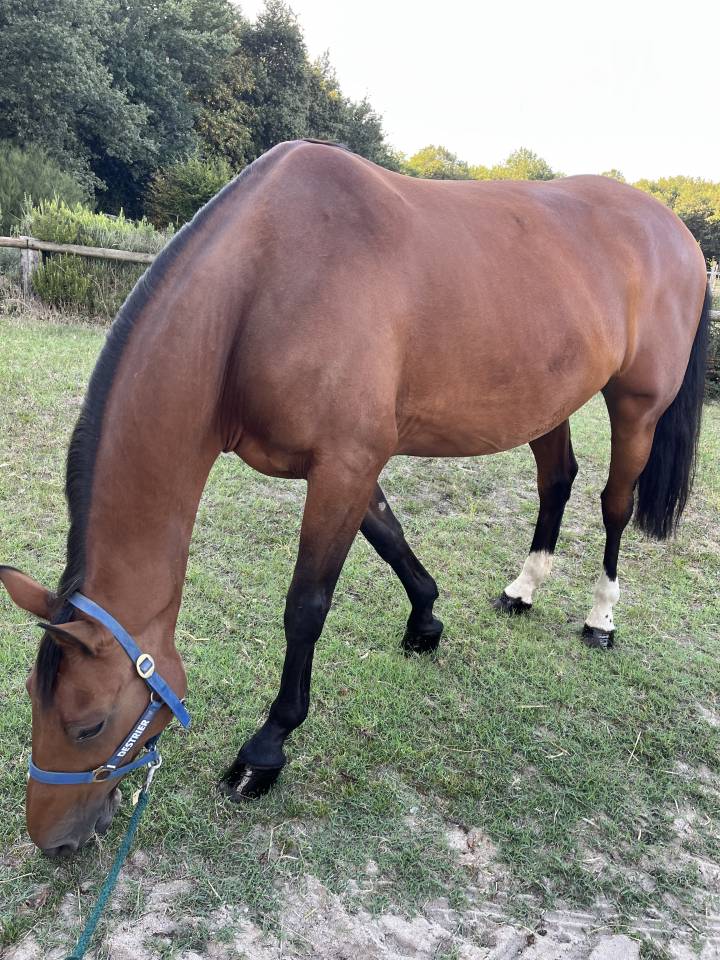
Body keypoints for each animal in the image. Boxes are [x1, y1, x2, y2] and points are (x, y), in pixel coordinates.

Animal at [1, 139, 710, 856]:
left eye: (89, 724)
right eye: (31, 695)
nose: (52, 840)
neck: (263, 286)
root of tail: (673, 229)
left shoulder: (345, 463)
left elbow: (306, 607)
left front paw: (265, 751)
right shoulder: (351, 465)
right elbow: (390, 538)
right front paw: (425, 622)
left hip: (637, 405)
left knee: (614, 505)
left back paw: (601, 618)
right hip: (549, 402)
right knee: (556, 481)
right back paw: (523, 588)